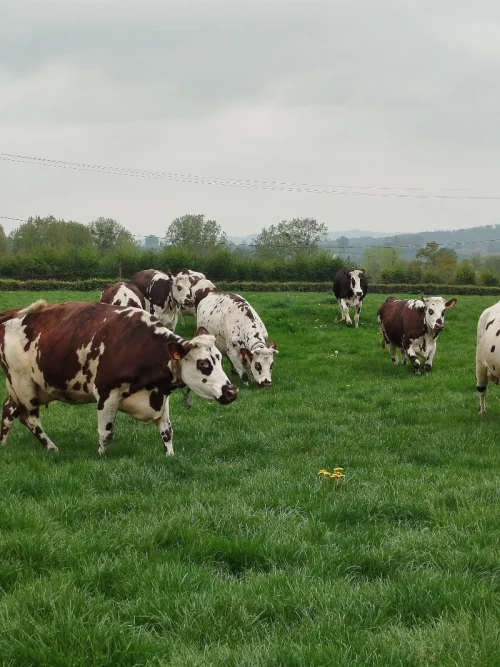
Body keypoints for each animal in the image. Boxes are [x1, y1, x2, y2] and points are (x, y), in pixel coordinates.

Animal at [0, 300, 237, 456]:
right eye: (203, 364)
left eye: (219, 358)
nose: (231, 392)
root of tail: (13, 315)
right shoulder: (106, 393)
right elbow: (106, 433)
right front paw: (100, 457)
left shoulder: (161, 396)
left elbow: (167, 431)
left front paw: (170, 455)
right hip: (23, 385)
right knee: (29, 418)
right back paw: (52, 447)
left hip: (25, 388)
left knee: (9, 410)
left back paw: (3, 444)